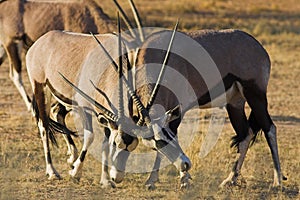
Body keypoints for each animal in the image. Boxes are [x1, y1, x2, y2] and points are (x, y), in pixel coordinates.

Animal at [134, 28, 286, 188]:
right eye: (155, 144)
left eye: (167, 136)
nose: (185, 164)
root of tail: (258, 47)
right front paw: (152, 180)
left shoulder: (178, 111)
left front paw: (183, 179)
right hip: (235, 103)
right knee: (245, 134)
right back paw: (230, 179)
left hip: (255, 95)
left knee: (269, 128)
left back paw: (277, 181)